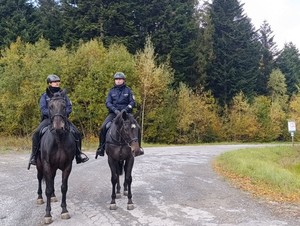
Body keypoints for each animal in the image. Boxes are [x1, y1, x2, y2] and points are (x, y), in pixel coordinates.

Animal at [35, 90, 76, 224]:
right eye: (50, 106)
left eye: (64, 106)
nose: (58, 126)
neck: (58, 139)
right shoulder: (47, 165)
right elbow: (47, 189)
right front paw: (48, 214)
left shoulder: (67, 166)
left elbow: (63, 187)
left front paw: (64, 211)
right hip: (40, 166)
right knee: (40, 179)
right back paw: (39, 197)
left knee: (51, 180)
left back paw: (53, 197)